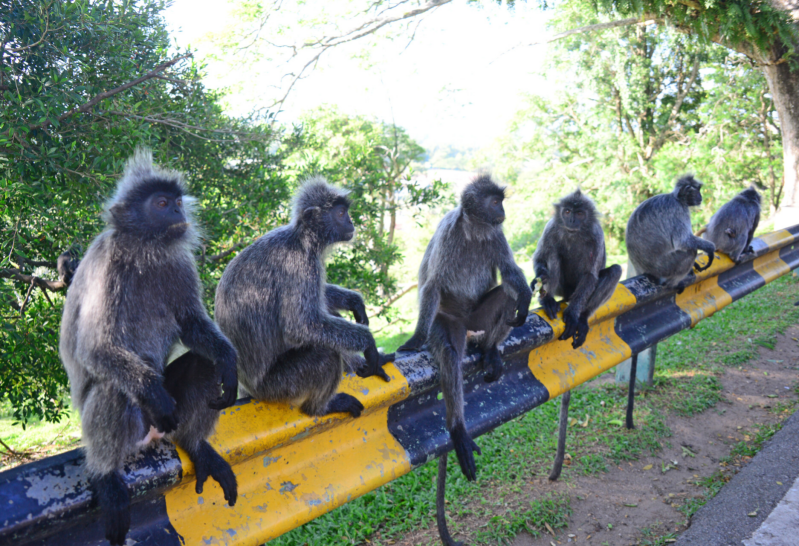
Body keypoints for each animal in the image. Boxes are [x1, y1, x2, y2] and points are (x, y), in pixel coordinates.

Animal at [59, 150, 239, 546]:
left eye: (175, 202)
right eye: (160, 204)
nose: (178, 214)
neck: (144, 252)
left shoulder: (179, 263)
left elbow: (192, 325)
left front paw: (230, 362)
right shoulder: (107, 267)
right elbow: (95, 347)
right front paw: (154, 394)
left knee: (206, 365)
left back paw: (195, 443)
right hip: (137, 425)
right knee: (113, 385)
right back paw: (107, 475)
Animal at [214, 176, 392, 422]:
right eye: (340, 213)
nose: (351, 222)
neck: (301, 239)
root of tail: (248, 388)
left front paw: (355, 302)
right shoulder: (298, 264)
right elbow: (301, 326)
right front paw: (369, 344)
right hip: (279, 385)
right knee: (326, 353)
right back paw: (320, 408)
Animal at [397, 175, 532, 546]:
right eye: (495, 202)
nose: (503, 211)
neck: (474, 232)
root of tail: (468, 323)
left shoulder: (495, 234)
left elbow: (511, 276)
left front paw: (527, 298)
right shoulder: (448, 234)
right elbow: (431, 284)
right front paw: (413, 340)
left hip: (478, 317)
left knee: (506, 297)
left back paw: (489, 350)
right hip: (448, 319)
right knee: (449, 352)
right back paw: (457, 428)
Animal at [531, 189, 622, 481]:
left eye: (580, 213)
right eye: (567, 212)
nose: (571, 220)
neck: (573, 232)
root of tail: (567, 296)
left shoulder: (595, 234)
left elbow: (591, 275)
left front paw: (574, 318)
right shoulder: (552, 227)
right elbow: (540, 259)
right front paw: (540, 285)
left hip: (576, 294)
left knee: (612, 271)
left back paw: (580, 317)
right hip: (562, 287)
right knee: (552, 256)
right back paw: (547, 300)